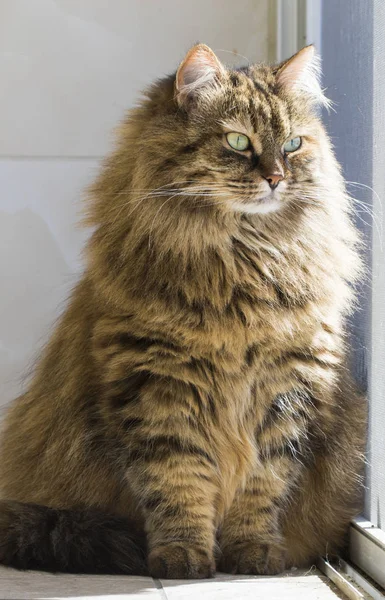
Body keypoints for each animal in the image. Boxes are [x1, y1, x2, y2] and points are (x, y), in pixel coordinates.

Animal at [0, 44, 366, 580]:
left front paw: (252, 555)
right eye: (238, 141)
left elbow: (262, 485)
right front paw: (182, 558)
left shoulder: (286, 392)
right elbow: (178, 483)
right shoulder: (158, 388)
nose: (276, 177)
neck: (243, 268)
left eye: (294, 144)